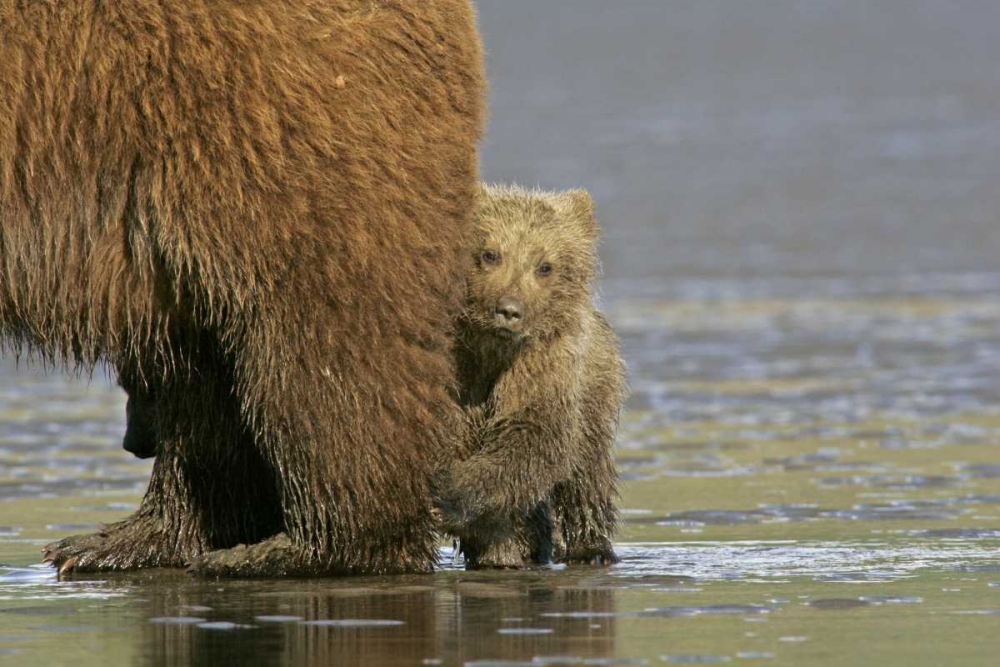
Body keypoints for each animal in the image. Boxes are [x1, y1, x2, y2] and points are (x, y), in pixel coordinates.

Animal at [0, 0, 485, 577]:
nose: (129, 442)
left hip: (264, 142)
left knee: (319, 346)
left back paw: (299, 547)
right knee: (202, 373)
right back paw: (122, 540)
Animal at [434, 184, 628, 569]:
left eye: (545, 266)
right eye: (490, 253)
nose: (509, 310)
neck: (490, 348)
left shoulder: (544, 364)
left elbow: (535, 437)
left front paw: (450, 495)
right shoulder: (456, 368)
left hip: (595, 391)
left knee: (586, 474)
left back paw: (590, 549)